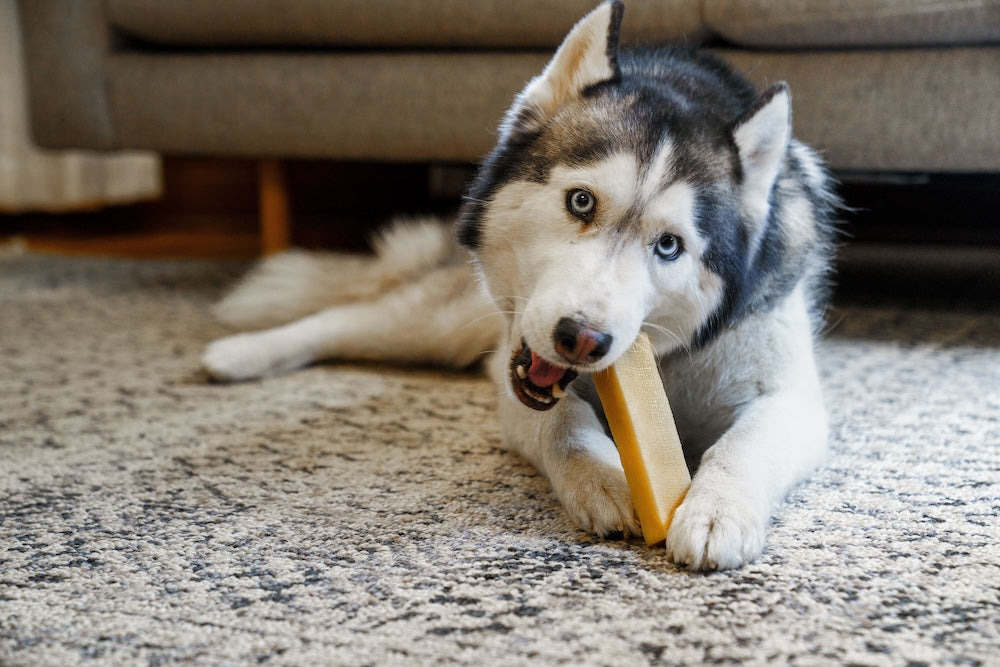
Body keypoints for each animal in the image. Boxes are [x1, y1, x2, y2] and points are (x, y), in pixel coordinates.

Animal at [203, 1, 836, 576]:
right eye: (581, 201)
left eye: (669, 246)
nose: (583, 339)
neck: (664, 361)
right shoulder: (515, 377)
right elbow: (561, 422)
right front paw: (604, 481)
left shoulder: (790, 397)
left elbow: (744, 444)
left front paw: (716, 511)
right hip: (447, 324)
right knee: (346, 318)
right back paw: (240, 353)